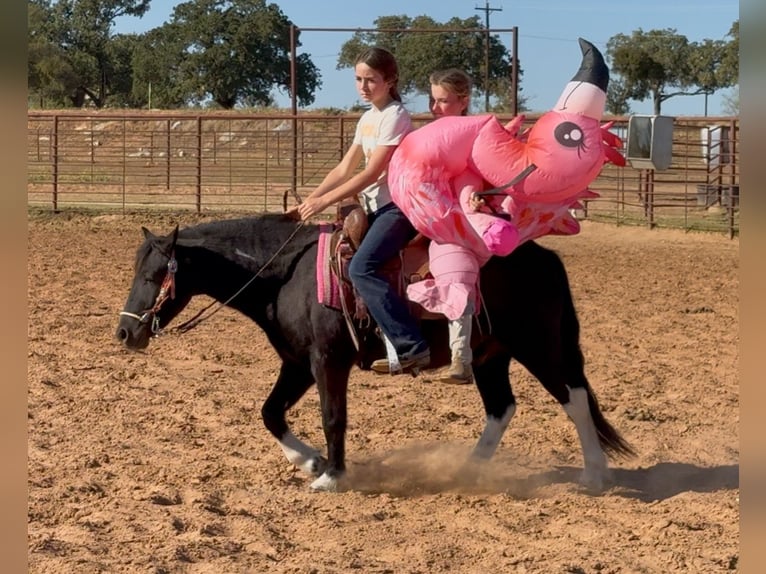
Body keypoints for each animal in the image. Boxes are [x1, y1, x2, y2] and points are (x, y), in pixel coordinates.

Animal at [115, 213, 635, 492]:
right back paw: (468, 469)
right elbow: (270, 413)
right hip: (492, 355)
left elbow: (333, 417)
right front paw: (311, 462)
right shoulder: (297, 363)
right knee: (502, 408)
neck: (286, 276)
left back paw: (595, 475)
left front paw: (331, 475)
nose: (124, 332)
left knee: (574, 398)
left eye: (153, 275)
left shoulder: (327, 362)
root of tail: (545, 258)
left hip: (539, 345)